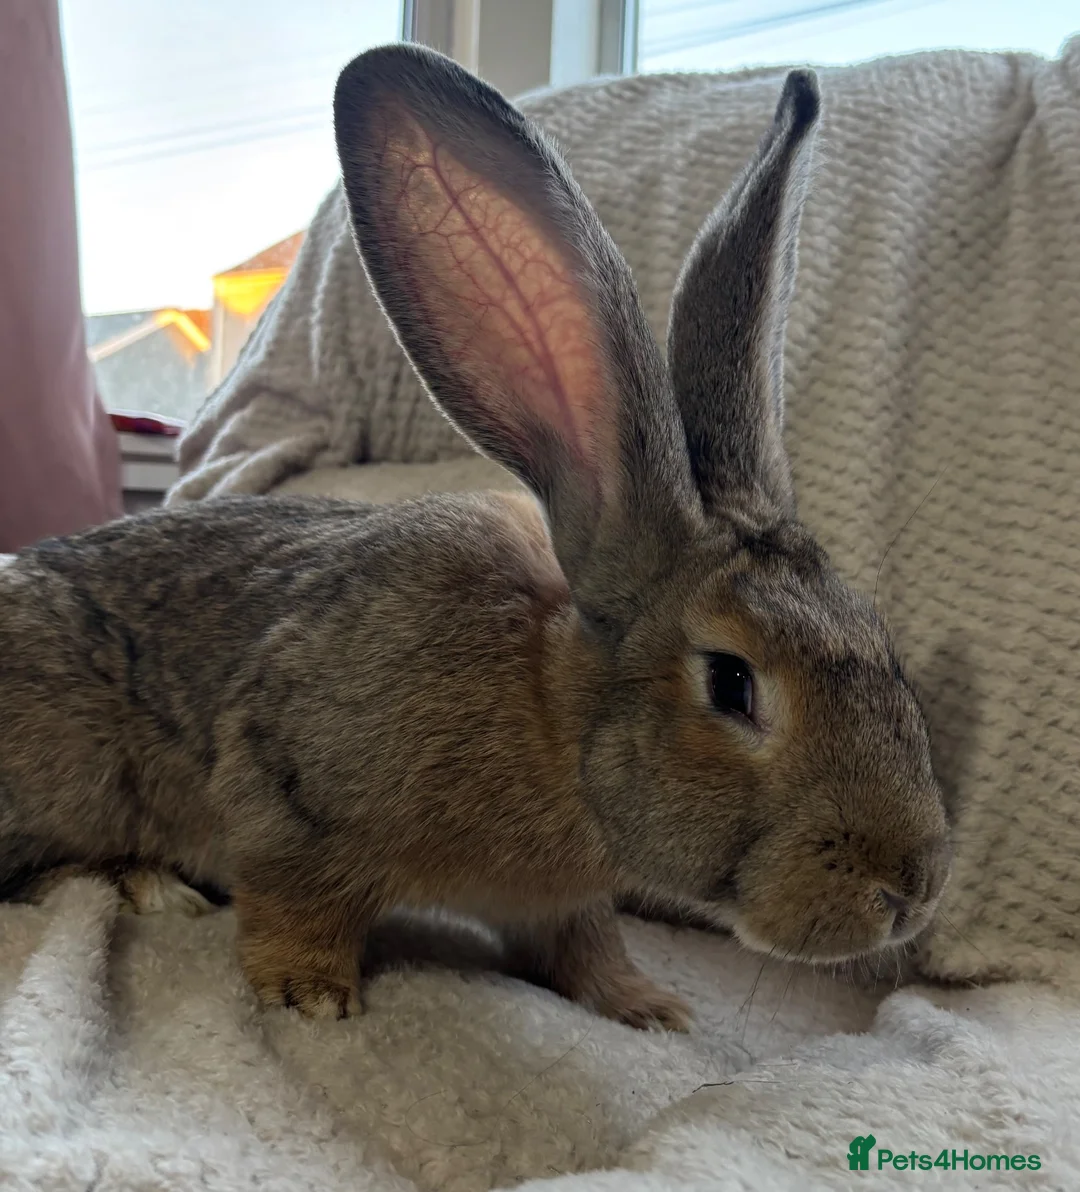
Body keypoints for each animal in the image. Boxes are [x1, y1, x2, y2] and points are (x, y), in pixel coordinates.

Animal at [0, 44, 950, 1028]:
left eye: (882, 642)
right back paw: (151, 887)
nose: (912, 888)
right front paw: (312, 997)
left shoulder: (560, 905)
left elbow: (584, 948)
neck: (556, 717)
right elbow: (292, 902)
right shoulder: (291, 793)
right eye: (732, 683)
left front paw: (646, 1007)